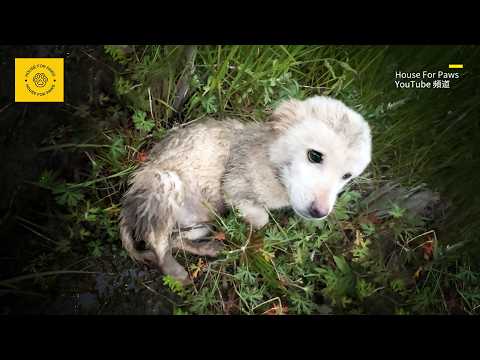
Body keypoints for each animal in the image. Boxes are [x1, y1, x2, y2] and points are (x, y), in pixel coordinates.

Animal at [119, 96, 372, 284]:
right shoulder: (232, 187)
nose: (320, 212)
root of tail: (126, 208)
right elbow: (261, 218)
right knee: (157, 243)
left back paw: (209, 249)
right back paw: (176, 272)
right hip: (165, 183)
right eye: (315, 155)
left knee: (175, 240)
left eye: (347, 176)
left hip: (200, 224)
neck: (270, 159)